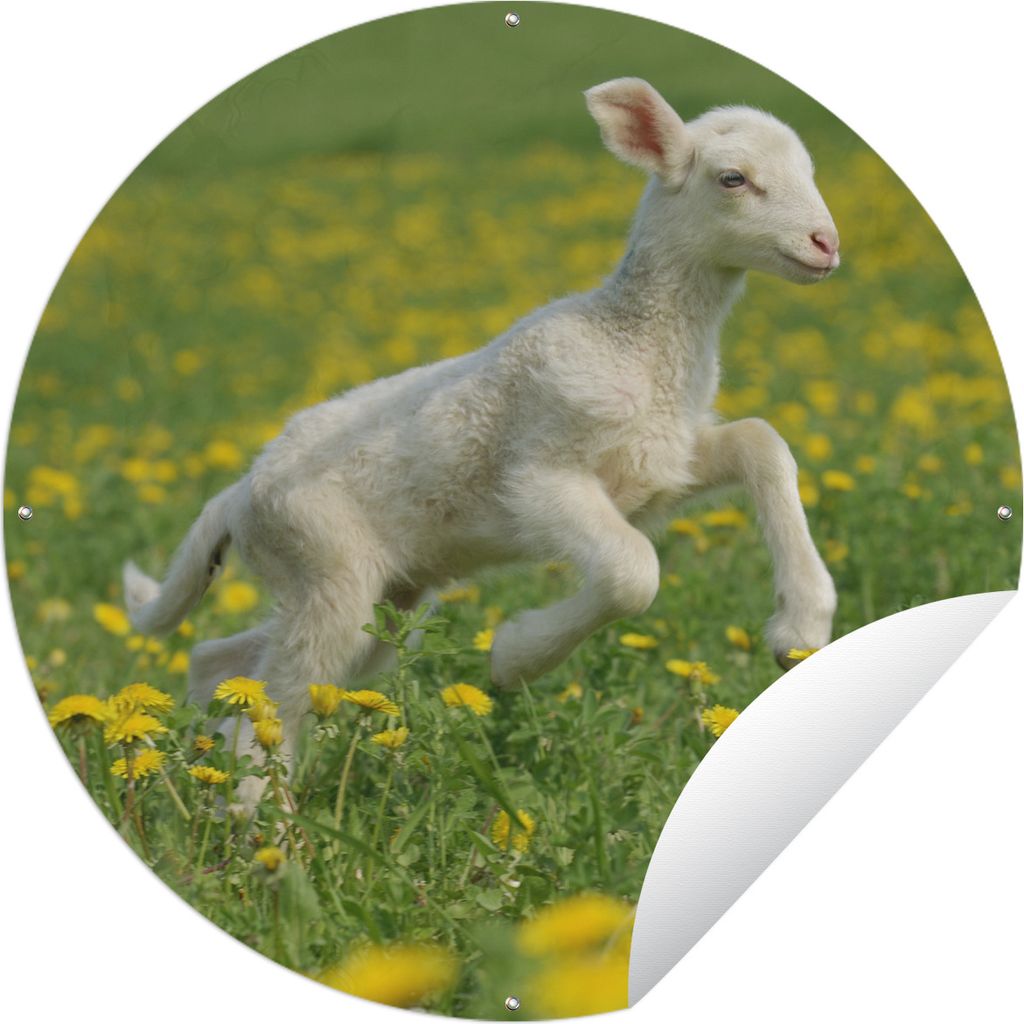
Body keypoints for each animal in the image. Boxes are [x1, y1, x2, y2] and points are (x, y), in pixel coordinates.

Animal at [124, 77, 839, 786]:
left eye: (809, 170)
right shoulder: (538, 477)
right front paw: (515, 656)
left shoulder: (662, 468)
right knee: (271, 706)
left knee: (225, 664)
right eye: (732, 179)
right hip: (324, 568)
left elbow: (762, 444)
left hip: (378, 601)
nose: (826, 244)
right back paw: (262, 816)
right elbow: (633, 571)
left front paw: (800, 629)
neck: (634, 342)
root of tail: (238, 494)